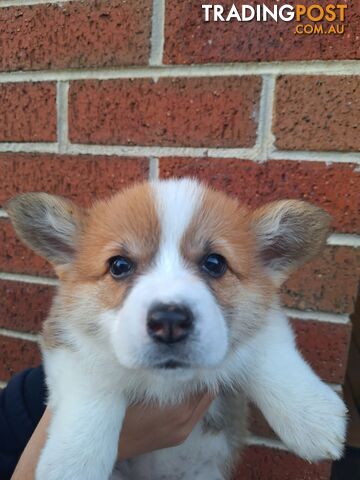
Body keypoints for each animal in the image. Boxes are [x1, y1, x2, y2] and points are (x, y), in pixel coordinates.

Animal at [5, 180, 348, 480]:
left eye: (214, 263)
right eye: (119, 265)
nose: (169, 321)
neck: (167, 384)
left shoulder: (264, 317)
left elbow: (270, 355)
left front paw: (314, 419)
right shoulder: (65, 336)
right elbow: (94, 384)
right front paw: (73, 462)